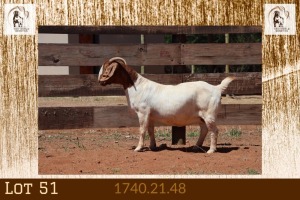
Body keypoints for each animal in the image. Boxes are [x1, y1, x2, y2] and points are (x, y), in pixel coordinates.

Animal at [98, 56, 234, 153]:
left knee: (214, 130)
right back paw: (196, 146)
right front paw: (153, 146)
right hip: (201, 116)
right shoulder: (150, 116)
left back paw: (211, 150)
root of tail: (216, 88)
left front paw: (138, 148)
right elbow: (150, 130)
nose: (100, 82)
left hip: (209, 114)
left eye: (107, 69)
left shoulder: (142, 112)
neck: (137, 86)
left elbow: (142, 130)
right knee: (204, 129)